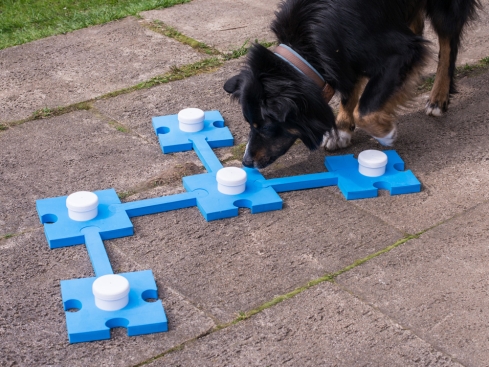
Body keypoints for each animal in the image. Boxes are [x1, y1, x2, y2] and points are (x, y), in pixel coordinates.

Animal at [224, 0, 480, 169]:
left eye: (266, 127)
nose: (246, 162)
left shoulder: (398, 51)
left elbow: (365, 109)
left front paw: (385, 133)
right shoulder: (341, 53)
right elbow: (350, 90)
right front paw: (341, 130)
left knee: (448, 42)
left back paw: (438, 98)